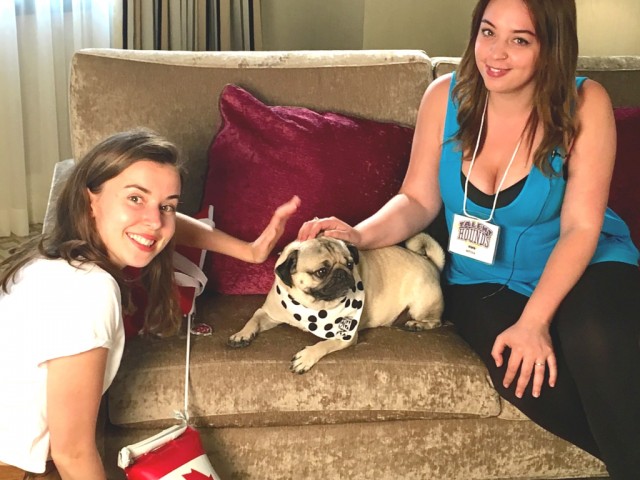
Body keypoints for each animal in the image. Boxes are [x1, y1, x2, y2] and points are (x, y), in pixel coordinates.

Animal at [226, 234, 444, 374]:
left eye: (350, 264)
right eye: (321, 271)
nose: (343, 273)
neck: (312, 307)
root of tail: (428, 261)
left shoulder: (346, 335)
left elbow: (324, 344)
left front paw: (306, 357)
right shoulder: (269, 314)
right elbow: (254, 319)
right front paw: (241, 334)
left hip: (421, 303)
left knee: (436, 321)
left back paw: (416, 324)